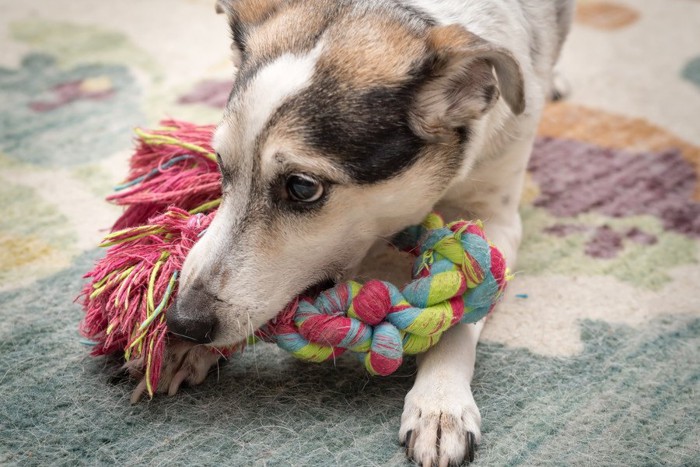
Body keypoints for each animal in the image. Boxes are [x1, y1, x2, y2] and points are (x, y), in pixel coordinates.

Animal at [141, 0, 576, 464]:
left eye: (302, 187)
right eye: (220, 164)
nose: (183, 322)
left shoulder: (496, 217)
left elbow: (463, 309)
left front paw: (440, 403)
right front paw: (187, 350)